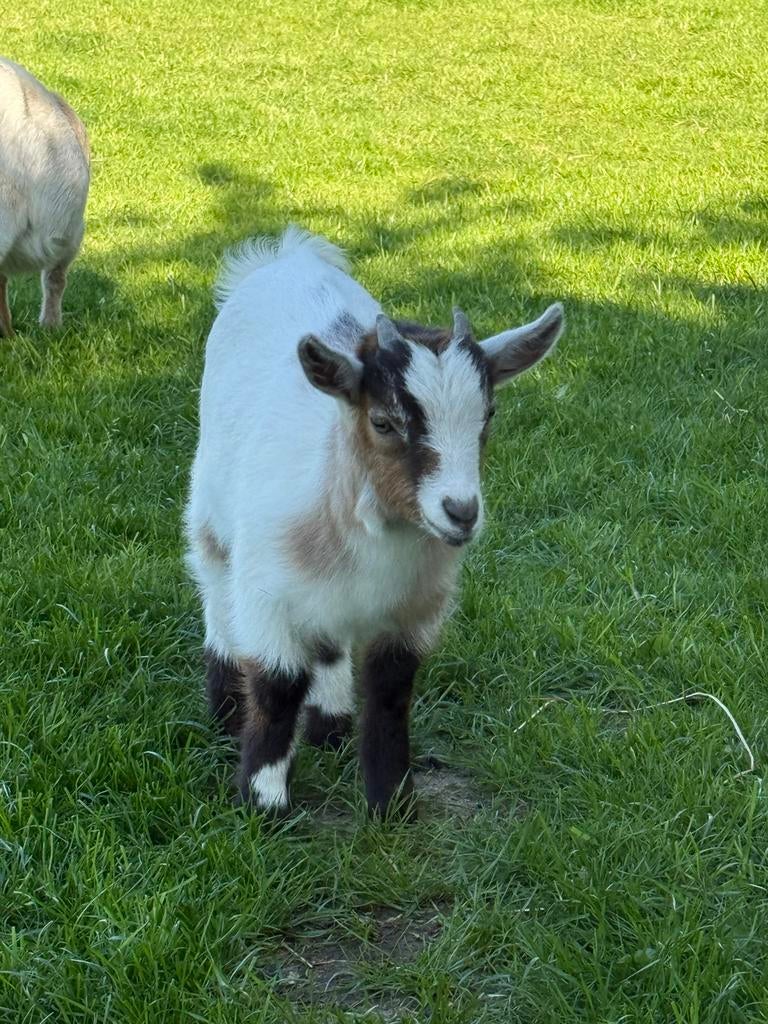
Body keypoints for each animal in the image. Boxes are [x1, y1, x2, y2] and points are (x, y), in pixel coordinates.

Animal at [185, 226, 564, 817]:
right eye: (384, 422)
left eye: (488, 417)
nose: (461, 512)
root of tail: (287, 257)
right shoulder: (268, 595)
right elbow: (276, 684)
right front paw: (265, 802)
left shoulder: (413, 612)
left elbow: (390, 694)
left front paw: (392, 801)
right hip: (210, 507)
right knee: (212, 579)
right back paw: (227, 708)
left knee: (329, 643)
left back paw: (330, 723)